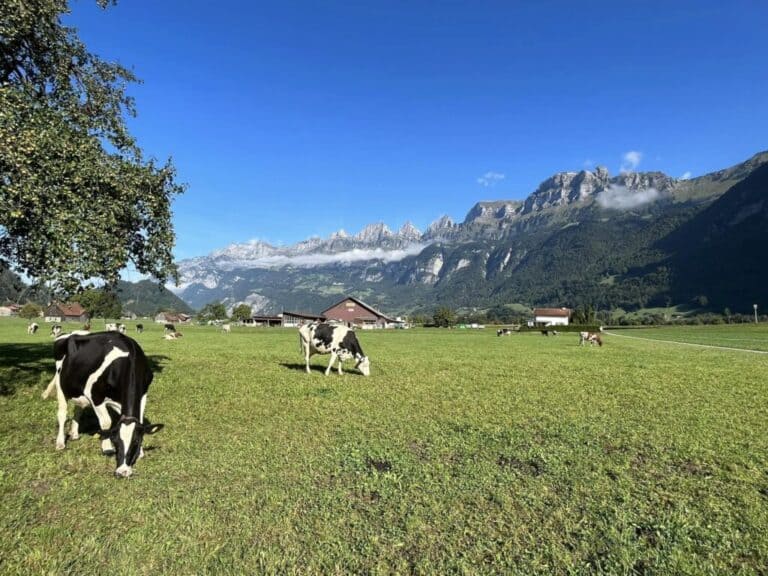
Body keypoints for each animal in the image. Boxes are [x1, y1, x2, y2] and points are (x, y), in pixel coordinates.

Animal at [44, 330, 164, 480]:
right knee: (62, 413)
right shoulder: (94, 395)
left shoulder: (143, 394)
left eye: (135, 442)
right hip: (61, 383)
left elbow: (140, 421)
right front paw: (106, 447)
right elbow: (106, 422)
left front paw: (140, 452)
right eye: (116, 442)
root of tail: (71, 333)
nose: (122, 472)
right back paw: (60, 442)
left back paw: (75, 433)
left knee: (78, 409)